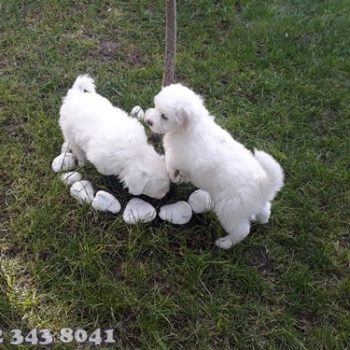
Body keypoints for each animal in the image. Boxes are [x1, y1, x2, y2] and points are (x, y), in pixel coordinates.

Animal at [145, 84, 284, 249]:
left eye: (164, 116)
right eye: (155, 106)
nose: (148, 121)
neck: (191, 127)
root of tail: (262, 184)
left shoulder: (177, 157)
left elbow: (171, 165)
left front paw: (173, 176)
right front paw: (180, 179)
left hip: (229, 211)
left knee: (242, 231)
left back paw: (224, 243)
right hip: (253, 204)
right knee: (265, 210)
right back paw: (261, 219)